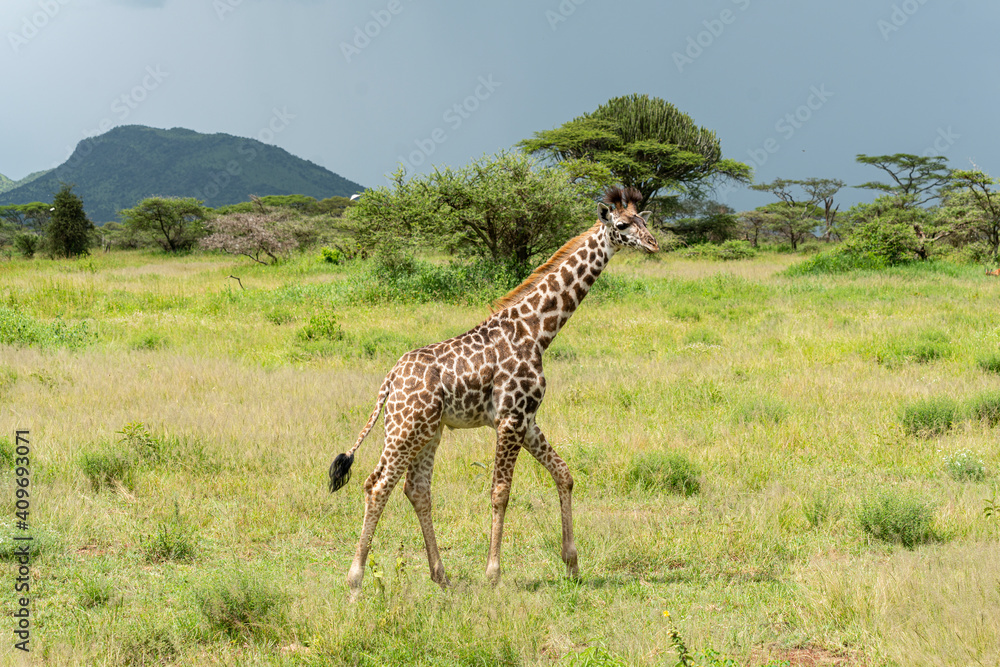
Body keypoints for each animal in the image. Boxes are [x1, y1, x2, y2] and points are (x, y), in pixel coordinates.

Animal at [328, 186, 658, 596]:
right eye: (623, 224)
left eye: (645, 220)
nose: (653, 243)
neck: (538, 331)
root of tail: (389, 381)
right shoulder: (510, 418)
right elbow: (500, 491)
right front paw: (494, 572)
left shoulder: (526, 418)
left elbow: (563, 473)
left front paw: (572, 564)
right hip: (406, 428)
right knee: (377, 484)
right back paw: (355, 579)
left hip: (429, 431)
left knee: (416, 489)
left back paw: (441, 576)